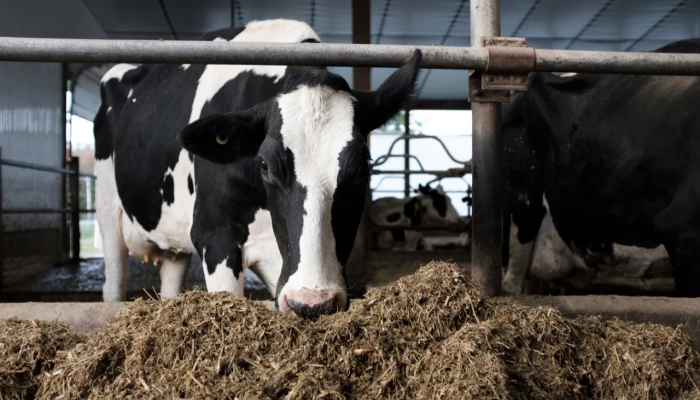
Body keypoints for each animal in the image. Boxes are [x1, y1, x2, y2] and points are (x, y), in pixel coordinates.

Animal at [94, 19, 423, 318]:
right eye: (264, 164)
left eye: (364, 167)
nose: (312, 304)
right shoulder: (215, 236)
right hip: (108, 211)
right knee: (112, 282)